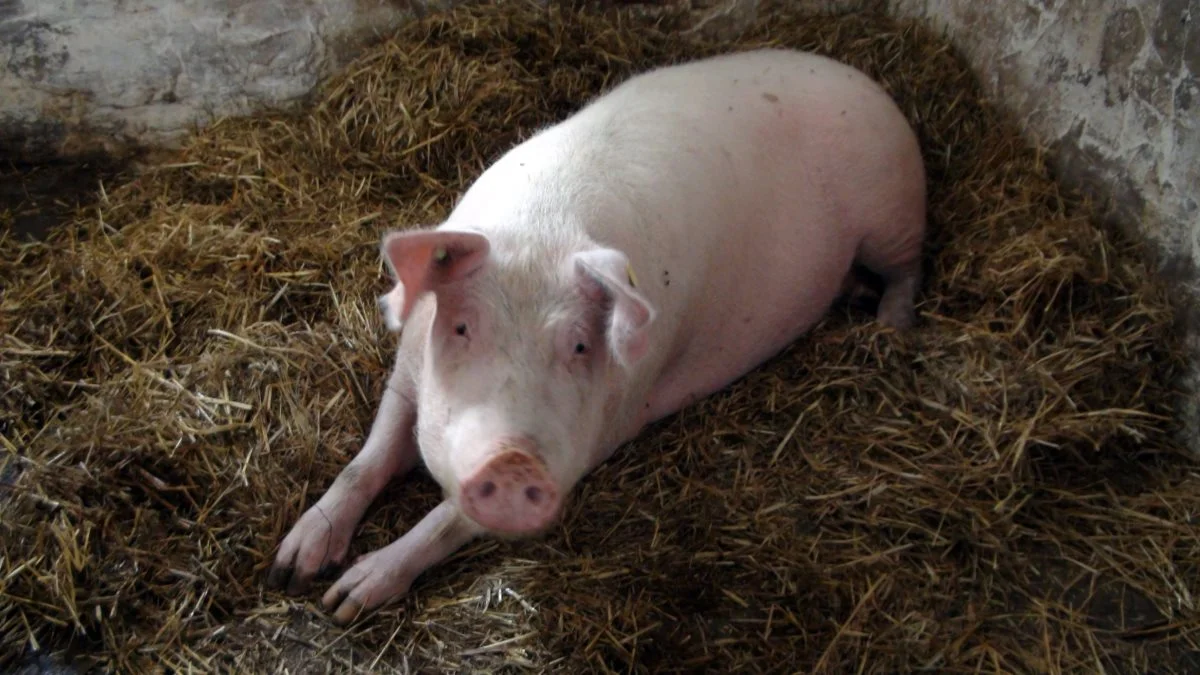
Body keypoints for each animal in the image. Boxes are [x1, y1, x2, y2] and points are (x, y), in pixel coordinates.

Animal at [267, 48, 926, 624]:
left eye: (580, 346)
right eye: (460, 327)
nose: (513, 460)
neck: (541, 232)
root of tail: (862, 79)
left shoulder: (590, 441)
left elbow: (447, 518)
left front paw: (348, 600)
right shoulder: (406, 374)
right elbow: (367, 461)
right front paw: (292, 571)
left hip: (893, 214)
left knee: (909, 270)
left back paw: (887, 330)